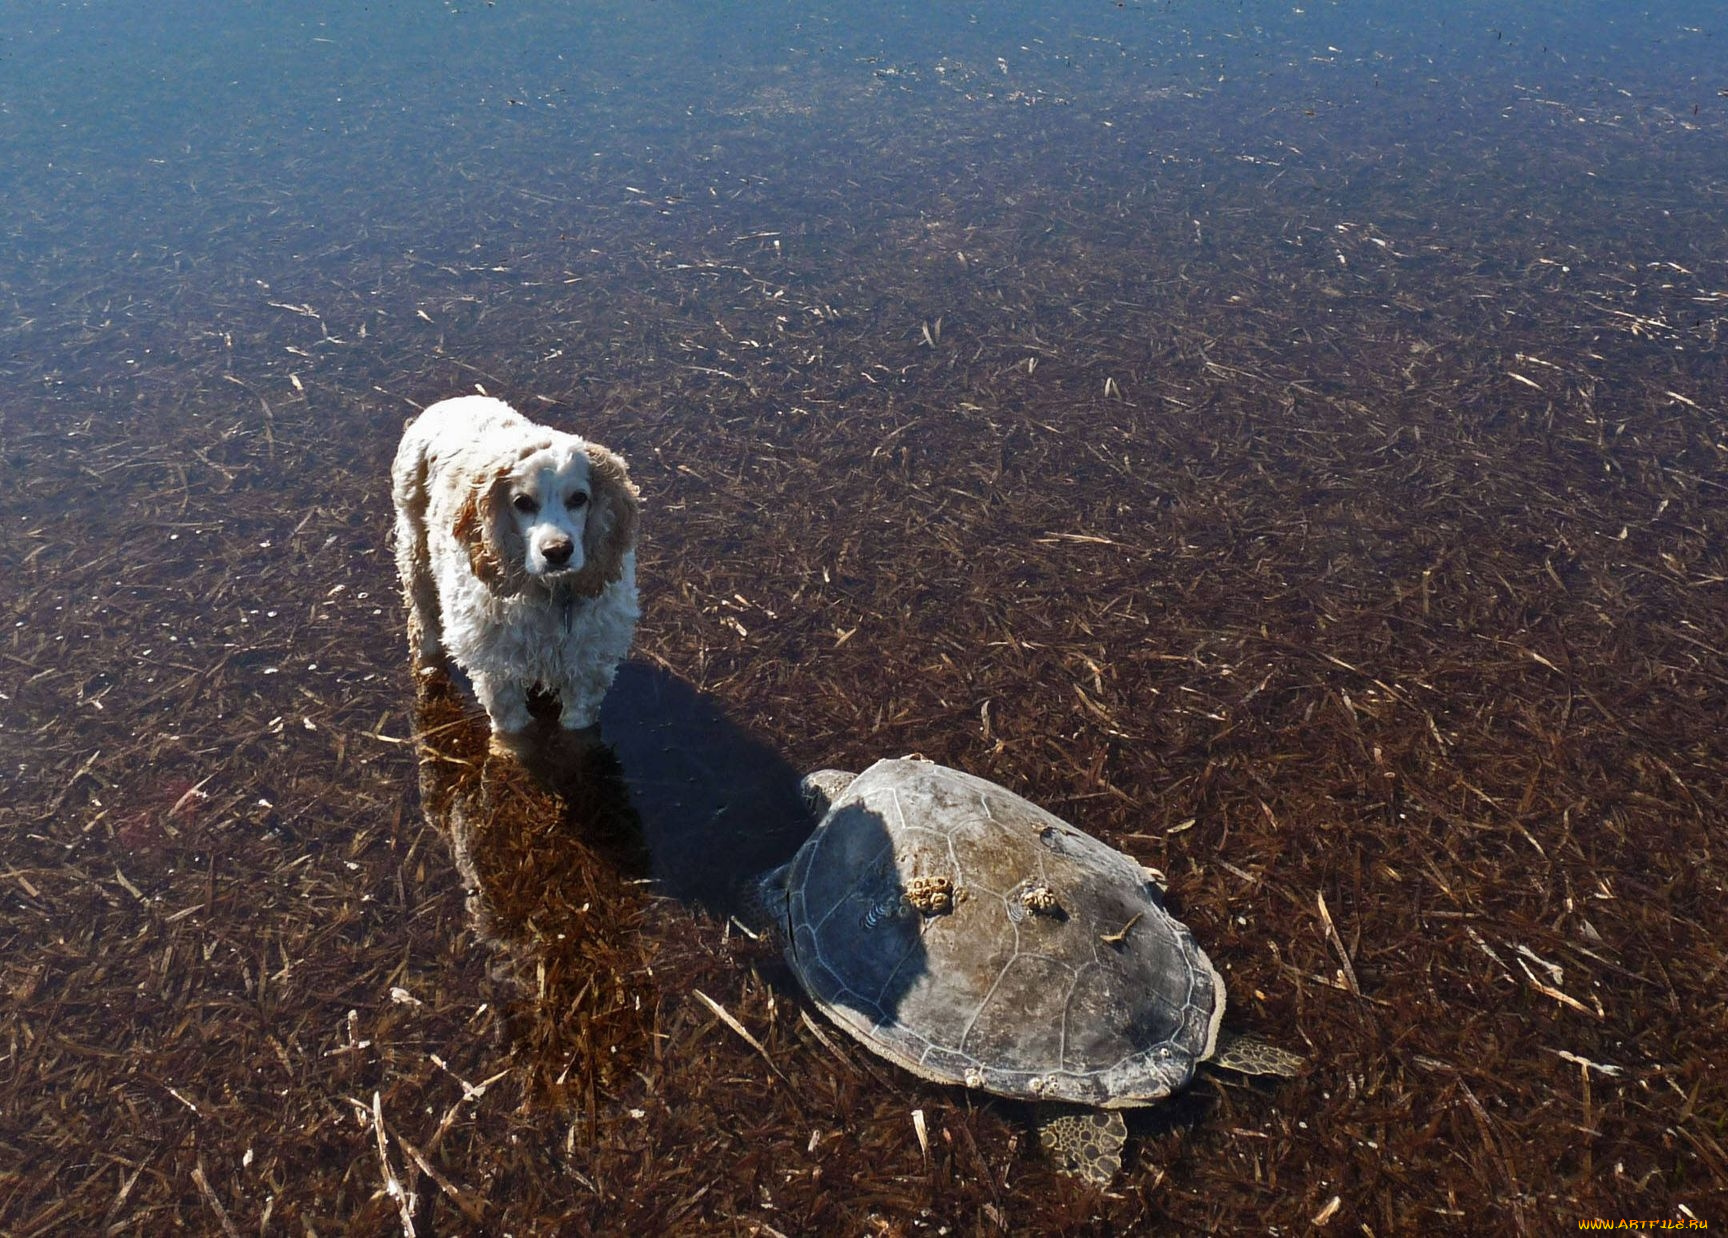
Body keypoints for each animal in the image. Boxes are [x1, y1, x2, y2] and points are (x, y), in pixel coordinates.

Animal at [392, 394, 642, 736]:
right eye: (522, 502)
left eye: (579, 498)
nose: (557, 551)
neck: (552, 593)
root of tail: (449, 401)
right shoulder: (498, 672)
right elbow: (514, 731)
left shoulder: (587, 669)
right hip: (414, 550)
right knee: (422, 624)